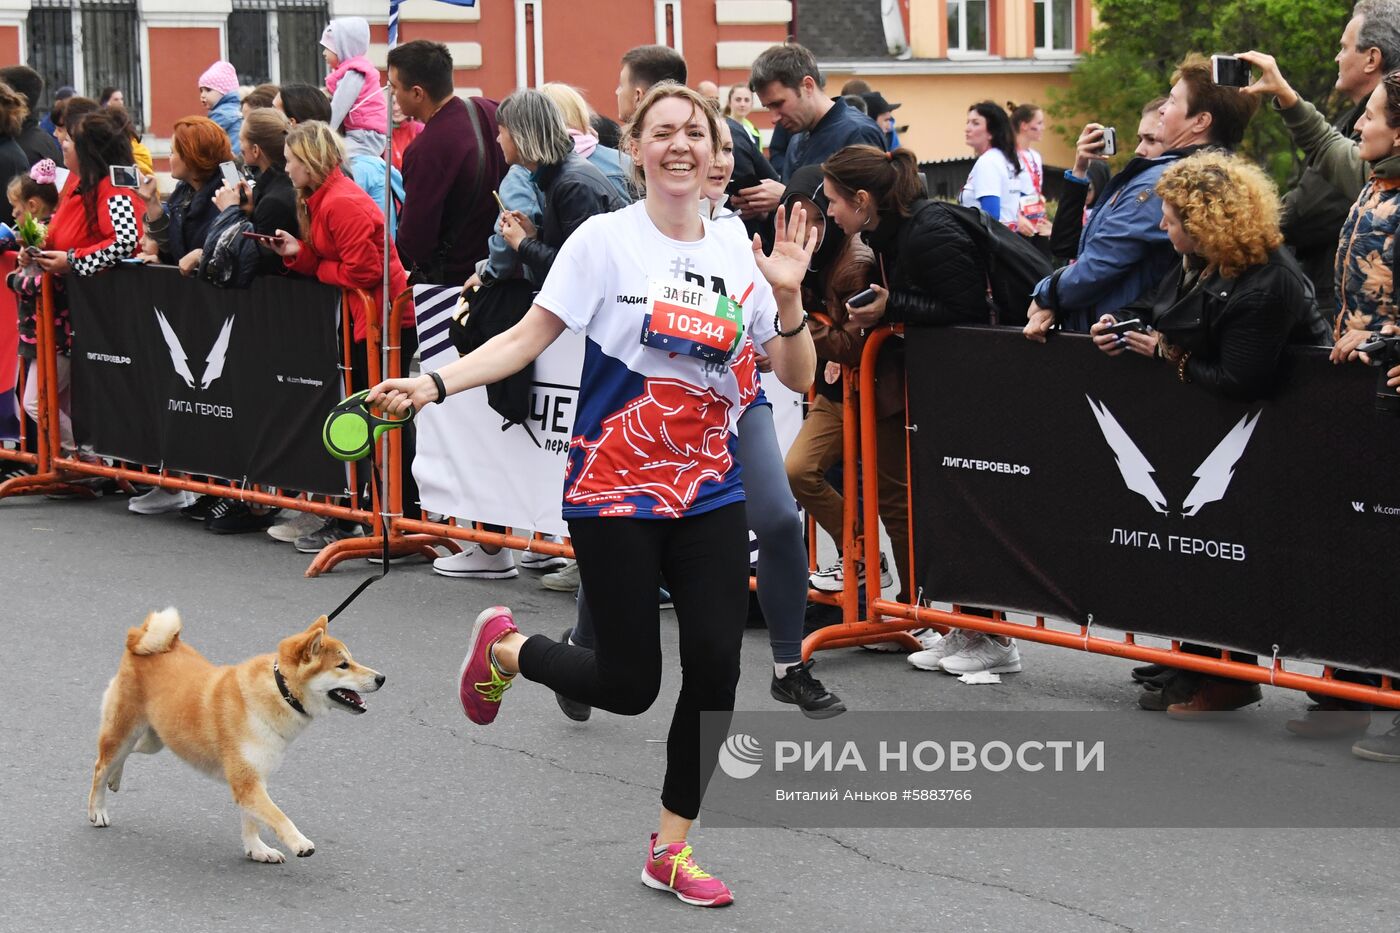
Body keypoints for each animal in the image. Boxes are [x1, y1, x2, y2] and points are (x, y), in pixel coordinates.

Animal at [87, 607, 383, 862]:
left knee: (124, 756)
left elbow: (252, 821)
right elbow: (278, 816)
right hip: (124, 731)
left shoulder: (254, 777)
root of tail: (138, 640)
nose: (382, 678)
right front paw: (298, 842)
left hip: (157, 739)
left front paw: (257, 850)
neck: (280, 691)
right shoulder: (247, 780)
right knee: (100, 765)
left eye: (352, 660)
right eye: (343, 665)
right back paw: (97, 810)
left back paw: (115, 779)